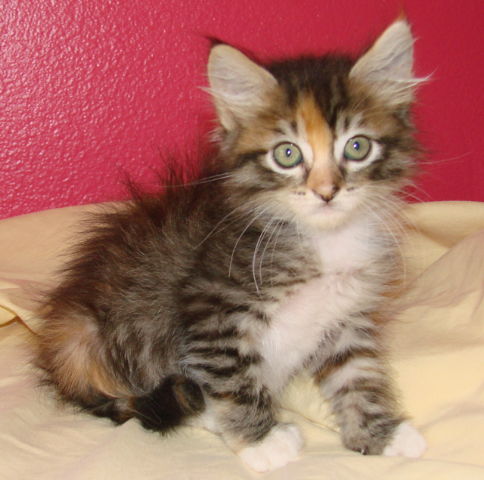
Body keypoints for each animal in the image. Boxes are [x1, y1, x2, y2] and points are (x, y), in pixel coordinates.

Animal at [35, 19, 428, 472]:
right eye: (287, 154)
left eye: (357, 147)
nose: (327, 192)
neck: (322, 239)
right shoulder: (211, 304)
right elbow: (231, 375)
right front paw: (261, 441)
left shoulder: (346, 317)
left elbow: (357, 374)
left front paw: (382, 433)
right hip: (93, 340)